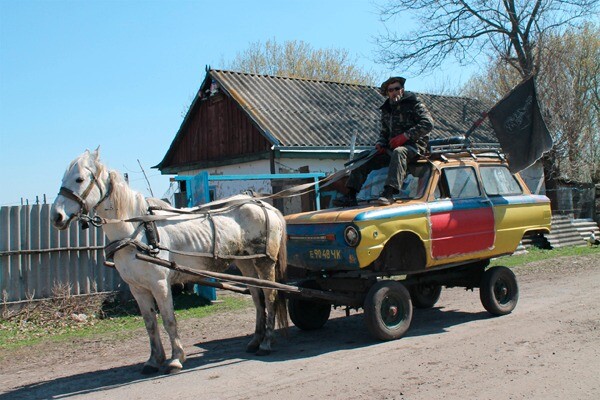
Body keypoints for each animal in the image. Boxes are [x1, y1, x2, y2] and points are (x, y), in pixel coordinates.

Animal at [50, 148, 290, 374]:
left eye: (79, 179)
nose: (56, 216)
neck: (137, 232)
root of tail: (263, 204)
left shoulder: (160, 285)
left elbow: (168, 320)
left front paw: (175, 359)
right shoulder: (138, 288)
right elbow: (150, 324)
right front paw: (153, 360)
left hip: (265, 262)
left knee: (270, 296)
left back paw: (266, 343)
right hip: (246, 263)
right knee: (257, 297)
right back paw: (256, 339)